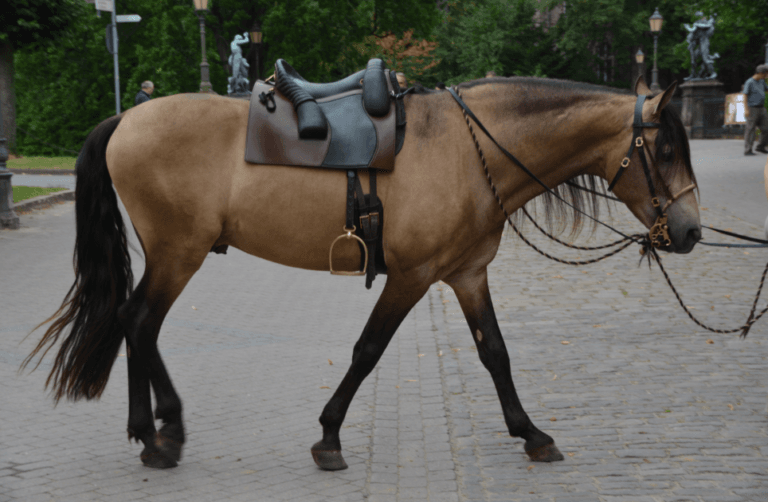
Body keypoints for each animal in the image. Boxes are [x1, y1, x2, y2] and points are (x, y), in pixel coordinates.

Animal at [25, 75, 700, 470]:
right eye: (665, 150)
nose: (692, 230)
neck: (467, 147)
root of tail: (127, 118)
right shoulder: (412, 276)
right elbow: (368, 349)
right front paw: (329, 436)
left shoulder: (466, 275)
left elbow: (496, 354)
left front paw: (530, 432)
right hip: (177, 253)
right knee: (140, 322)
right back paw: (161, 433)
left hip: (172, 255)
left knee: (134, 322)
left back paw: (154, 430)